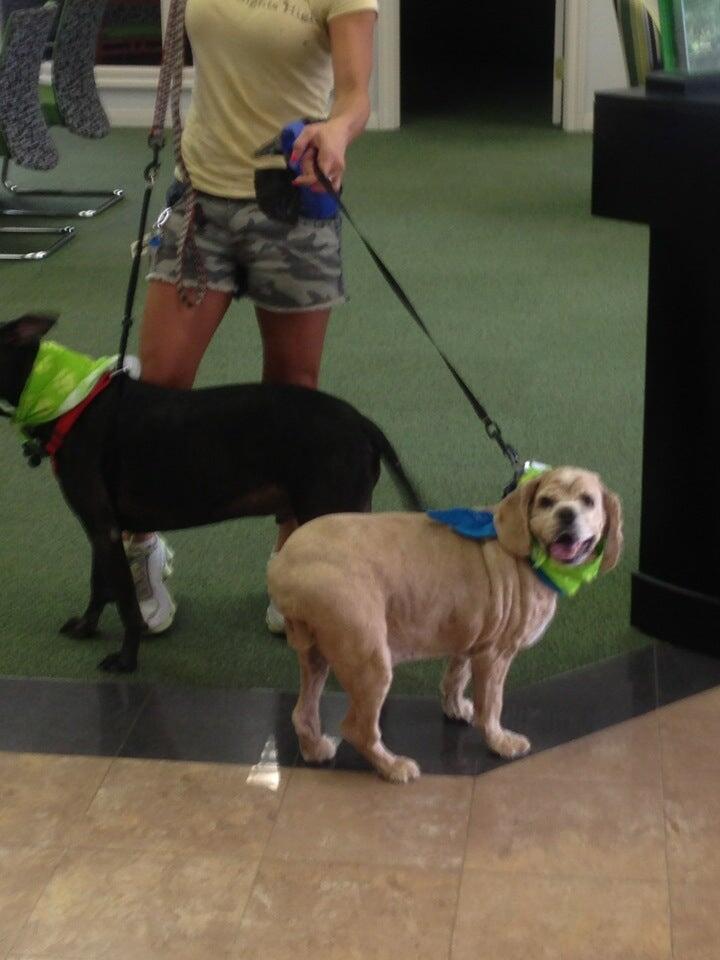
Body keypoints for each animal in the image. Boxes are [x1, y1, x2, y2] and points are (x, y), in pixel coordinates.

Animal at [0, 313, 422, 673]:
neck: (64, 397)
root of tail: (363, 423)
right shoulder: (101, 528)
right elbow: (98, 586)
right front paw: (87, 628)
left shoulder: (103, 528)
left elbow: (125, 604)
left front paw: (126, 660)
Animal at [268, 466, 623, 782]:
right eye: (547, 502)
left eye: (588, 501)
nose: (567, 514)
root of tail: (281, 566)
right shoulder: (496, 654)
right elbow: (491, 706)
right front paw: (499, 742)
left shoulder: (471, 638)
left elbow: (455, 677)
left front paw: (456, 709)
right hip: (369, 660)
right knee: (357, 729)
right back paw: (393, 766)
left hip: (317, 657)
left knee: (302, 713)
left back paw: (314, 749)